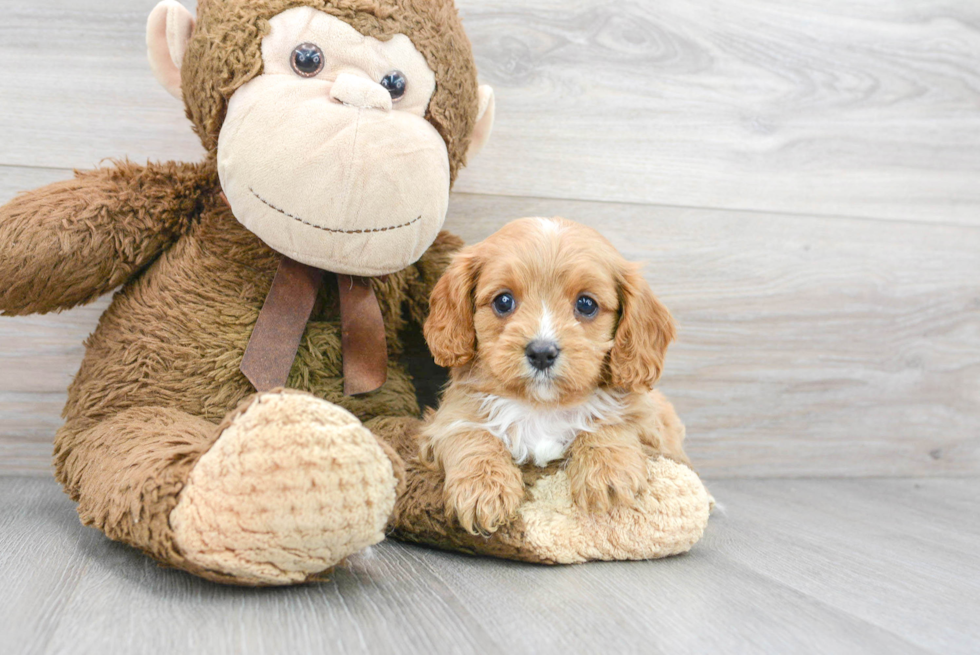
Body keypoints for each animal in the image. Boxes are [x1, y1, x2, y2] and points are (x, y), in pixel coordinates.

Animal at [422, 218, 688, 536]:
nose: (541, 352)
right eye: (503, 301)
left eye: (586, 304)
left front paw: (607, 470)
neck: (542, 406)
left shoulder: (649, 424)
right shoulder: (449, 417)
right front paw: (483, 488)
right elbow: (470, 433)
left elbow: (612, 421)